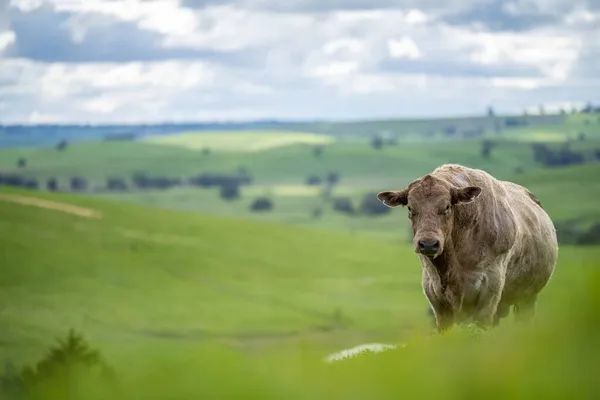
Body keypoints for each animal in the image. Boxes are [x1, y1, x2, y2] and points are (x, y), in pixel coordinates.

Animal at [378, 164, 560, 332]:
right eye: (410, 207)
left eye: (447, 206)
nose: (428, 243)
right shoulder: (436, 299)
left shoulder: (489, 291)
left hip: (528, 298)